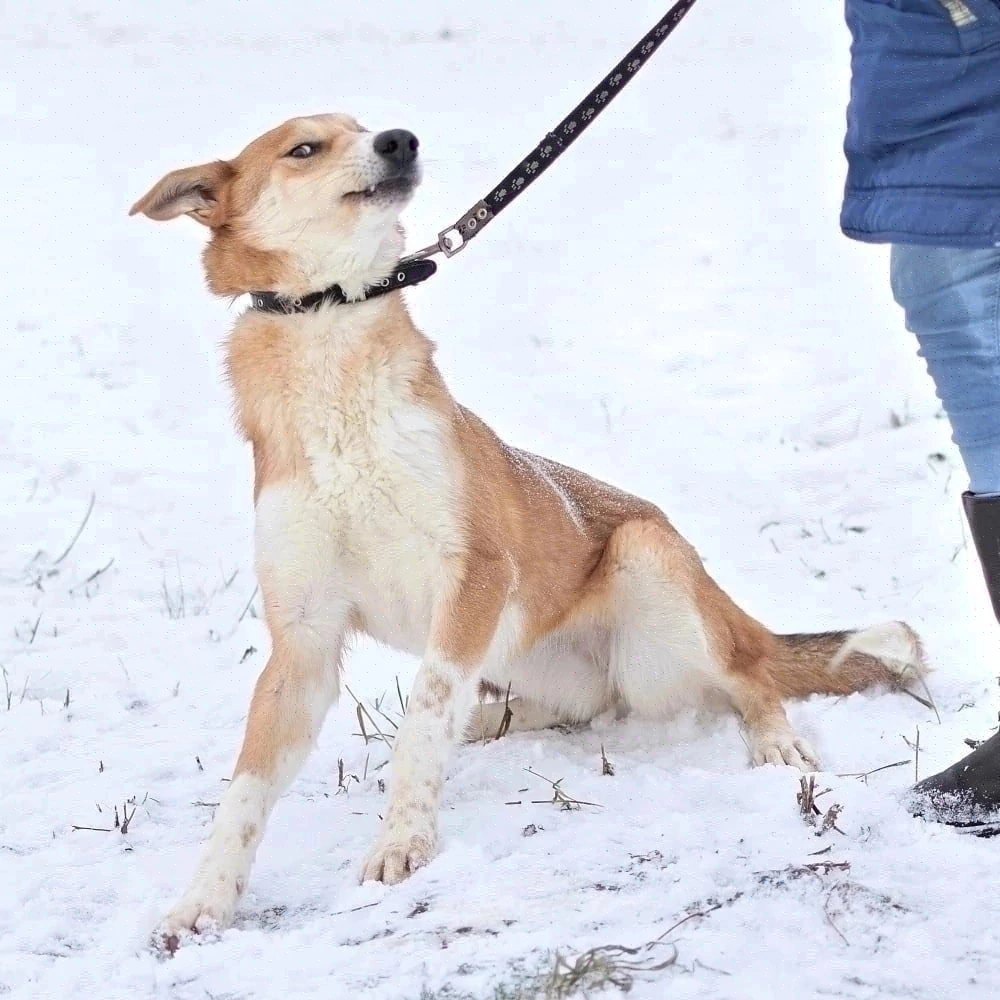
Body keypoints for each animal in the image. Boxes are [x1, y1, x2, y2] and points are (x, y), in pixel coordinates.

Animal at [133, 113, 928, 948]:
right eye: (304, 148)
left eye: (360, 127)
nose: (399, 140)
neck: (331, 334)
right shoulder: (304, 643)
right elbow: (247, 791)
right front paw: (202, 904)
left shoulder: (476, 576)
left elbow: (423, 717)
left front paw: (402, 843)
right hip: (526, 660)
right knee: (583, 706)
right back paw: (491, 720)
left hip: (650, 575)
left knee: (749, 675)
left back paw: (774, 737)